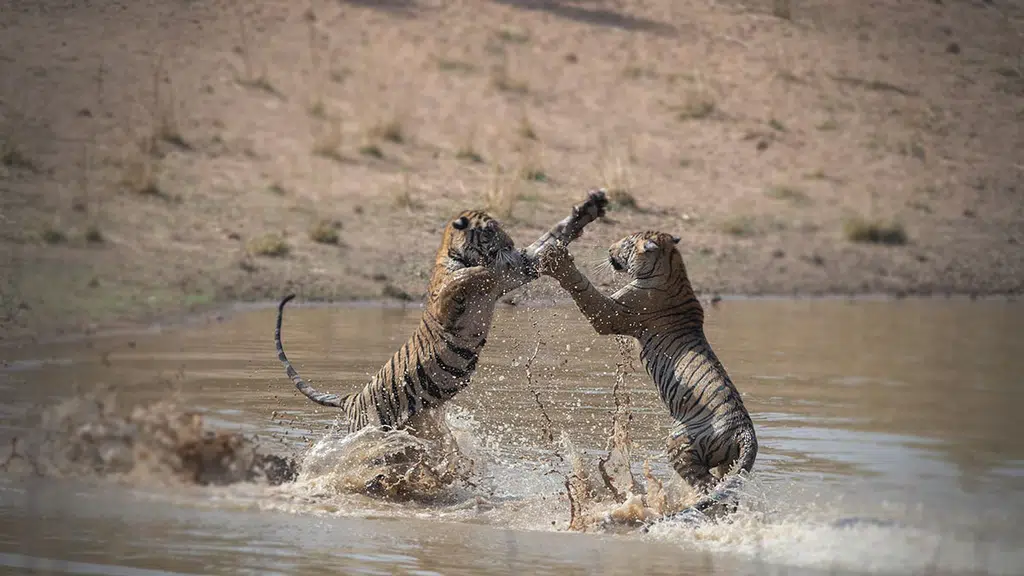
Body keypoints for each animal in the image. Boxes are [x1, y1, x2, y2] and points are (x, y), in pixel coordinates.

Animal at [275, 189, 609, 442]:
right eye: (491, 231)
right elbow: (466, 278)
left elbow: (551, 235)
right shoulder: (451, 300)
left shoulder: (515, 270)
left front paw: (590, 207)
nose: (511, 244)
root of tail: (352, 399)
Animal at [538, 231, 758, 527]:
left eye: (626, 244)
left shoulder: (611, 313)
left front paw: (557, 258)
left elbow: (584, 289)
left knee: (709, 487)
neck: (672, 266)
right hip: (729, 464)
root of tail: (746, 431)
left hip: (679, 445)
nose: (609, 249)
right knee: (727, 491)